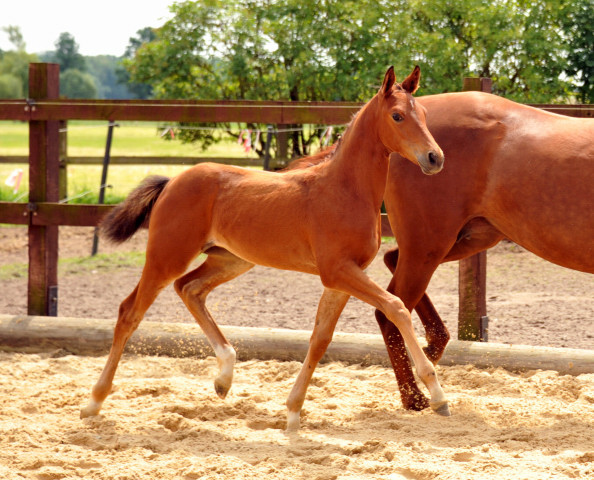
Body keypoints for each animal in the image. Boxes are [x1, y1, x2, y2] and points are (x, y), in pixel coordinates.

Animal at [80, 65, 448, 430]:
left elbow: (321, 338)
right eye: (397, 116)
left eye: (424, 114)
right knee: (130, 311)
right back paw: (94, 402)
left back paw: (224, 377)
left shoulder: (343, 277)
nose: (435, 158)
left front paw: (293, 412)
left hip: (231, 260)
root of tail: (172, 181)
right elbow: (396, 307)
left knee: (189, 288)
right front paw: (437, 395)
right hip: (167, 256)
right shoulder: (338, 271)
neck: (345, 189)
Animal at [374, 92, 592, 410]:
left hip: (463, 240)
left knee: (392, 265)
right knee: (389, 311)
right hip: (429, 245)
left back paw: (431, 350)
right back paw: (415, 397)